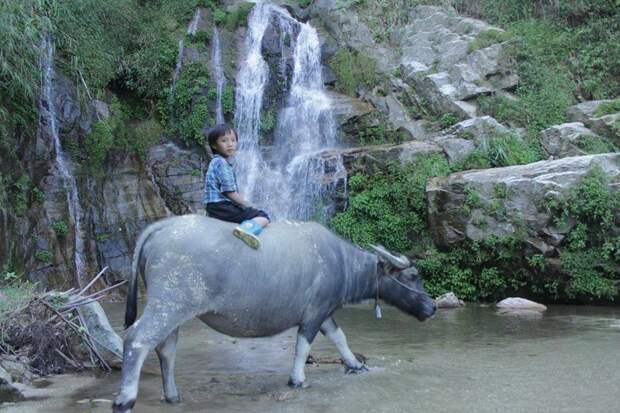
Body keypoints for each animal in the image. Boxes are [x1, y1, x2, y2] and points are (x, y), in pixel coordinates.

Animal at [115, 214, 436, 410]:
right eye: (412, 276)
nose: (432, 307)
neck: (341, 262)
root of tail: (160, 227)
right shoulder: (314, 313)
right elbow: (303, 346)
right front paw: (298, 379)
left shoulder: (325, 313)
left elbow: (340, 337)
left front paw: (356, 365)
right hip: (168, 303)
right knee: (137, 339)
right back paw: (125, 400)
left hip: (174, 309)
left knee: (166, 349)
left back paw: (172, 396)